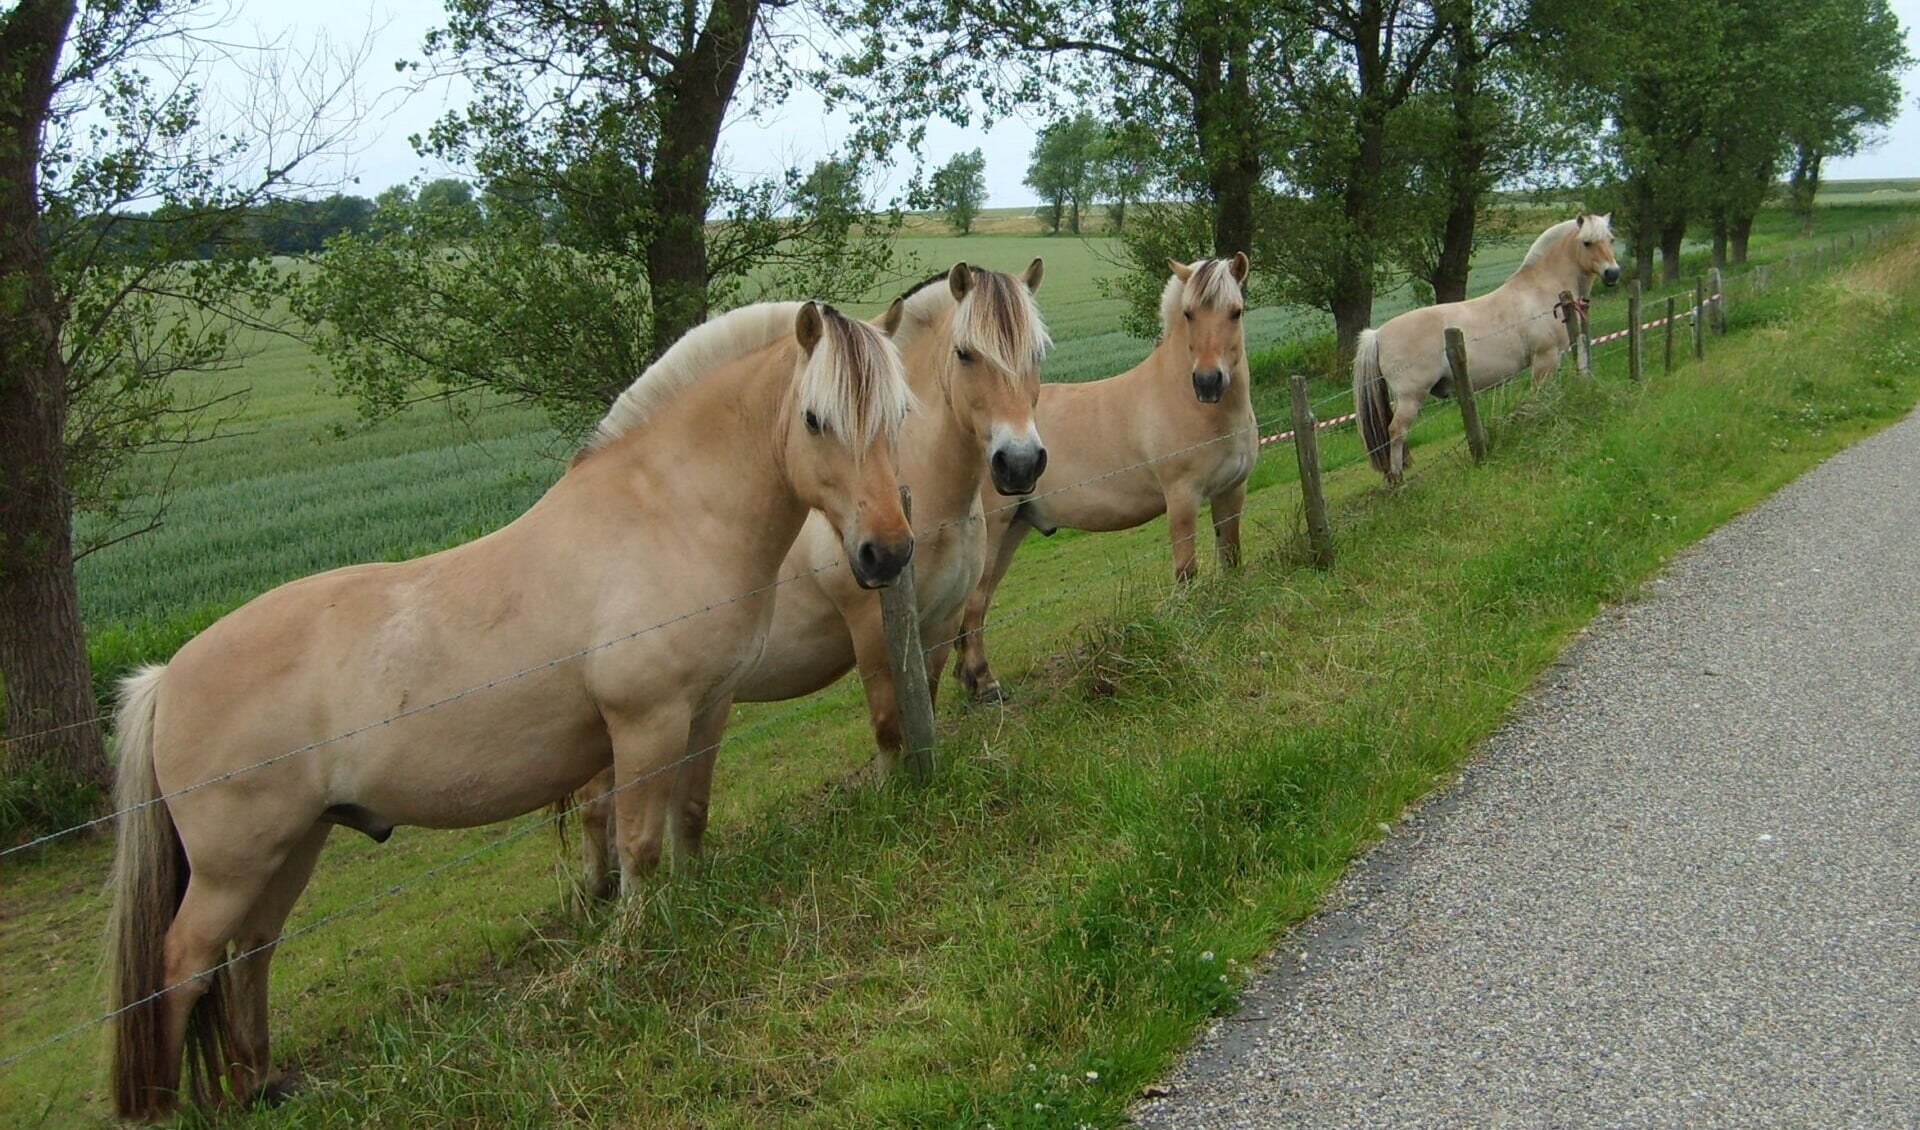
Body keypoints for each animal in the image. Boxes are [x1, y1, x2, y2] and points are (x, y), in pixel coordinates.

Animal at [108, 301, 917, 1120]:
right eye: (815, 419)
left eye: (900, 414)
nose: (885, 553)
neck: (663, 518)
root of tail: (165, 679)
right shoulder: (645, 724)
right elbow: (638, 844)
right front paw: (633, 948)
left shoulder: (708, 708)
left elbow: (688, 818)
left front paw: (696, 902)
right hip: (231, 868)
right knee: (183, 968)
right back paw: (172, 1107)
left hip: (292, 845)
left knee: (252, 953)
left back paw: (261, 1085)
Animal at [568, 262, 1052, 890]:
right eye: (966, 353)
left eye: (1036, 353)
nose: (1018, 462)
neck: (916, 491)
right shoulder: (871, 627)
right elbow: (887, 722)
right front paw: (889, 797)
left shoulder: (942, 622)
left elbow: (924, 701)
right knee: (594, 804)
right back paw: (598, 891)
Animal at [956, 251, 1259, 702]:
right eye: (1189, 313)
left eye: (1236, 311)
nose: (1207, 382)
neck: (1193, 405)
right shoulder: (1182, 498)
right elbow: (1186, 570)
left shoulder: (1232, 491)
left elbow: (1231, 553)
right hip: (994, 532)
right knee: (974, 606)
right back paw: (985, 685)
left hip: (1011, 532)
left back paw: (971, 682)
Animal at [1351, 211, 1620, 479]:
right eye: (1587, 242)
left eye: (1611, 240)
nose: (1612, 273)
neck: (1539, 289)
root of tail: (1377, 334)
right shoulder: (1545, 358)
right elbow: (1539, 395)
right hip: (1410, 397)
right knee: (1396, 431)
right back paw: (1397, 479)